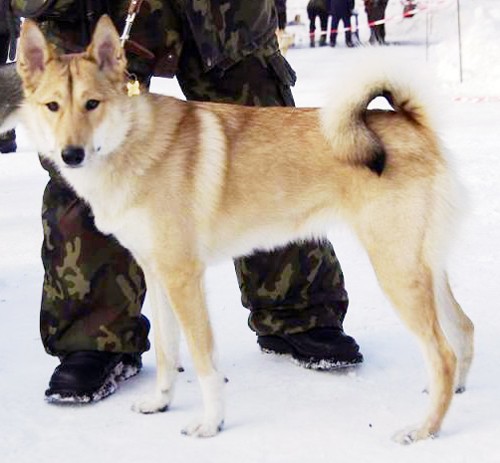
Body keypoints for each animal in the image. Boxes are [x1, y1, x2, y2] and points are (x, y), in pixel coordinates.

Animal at [12, 15, 474, 443]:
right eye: (53, 106)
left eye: (92, 104)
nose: (71, 155)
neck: (132, 143)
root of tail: (412, 122)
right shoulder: (158, 276)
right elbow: (166, 352)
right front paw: (160, 403)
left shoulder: (184, 279)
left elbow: (203, 362)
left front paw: (210, 423)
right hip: (422, 270)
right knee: (463, 330)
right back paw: (451, 393)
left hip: (396, 271)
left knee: (443, 353)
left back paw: (423, 429)